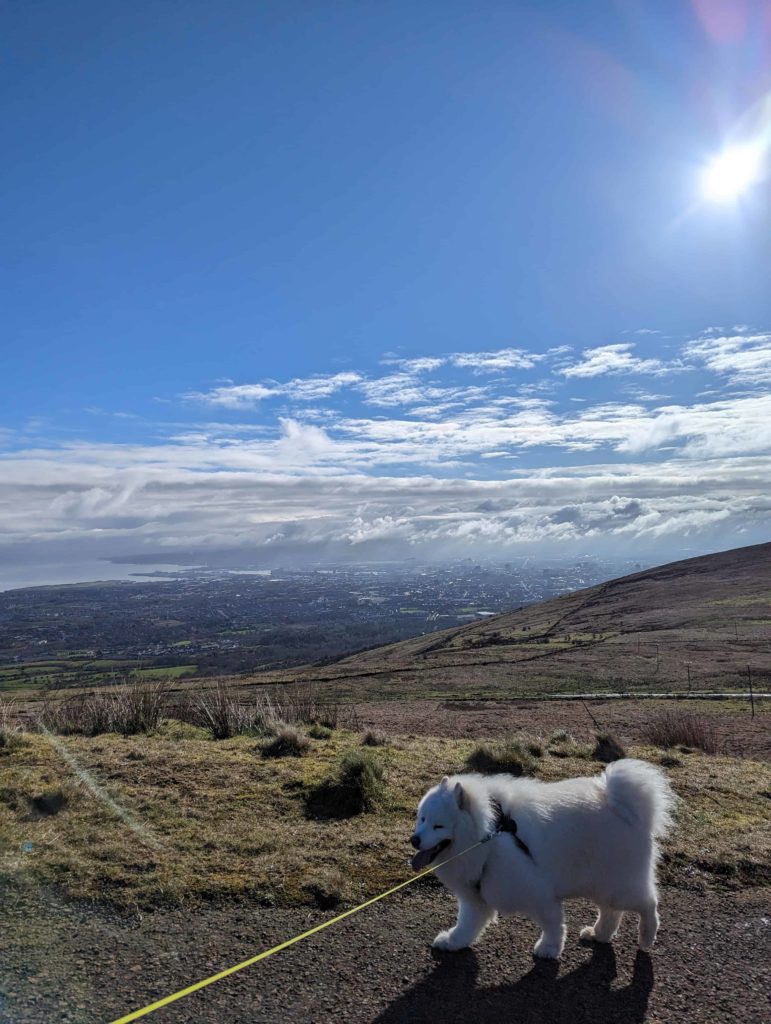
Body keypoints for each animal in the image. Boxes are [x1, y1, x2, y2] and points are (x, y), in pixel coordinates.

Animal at [409, 761, 671, 958]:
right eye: (422, 819)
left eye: (438, 825)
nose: (414, 840)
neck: (489, 836)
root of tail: (625, 809)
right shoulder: (476, 895)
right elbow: (466, 924)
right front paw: (452, 942)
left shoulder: (537, 892)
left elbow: (552, 923)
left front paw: (549, 948)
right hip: (604, 884)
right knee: (611, 912)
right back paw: (599, 934)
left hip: (618, 886)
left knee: (648, 904)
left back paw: (646, 937)